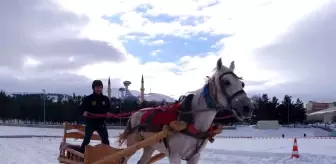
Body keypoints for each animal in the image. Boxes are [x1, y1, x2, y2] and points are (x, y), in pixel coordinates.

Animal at [118, 58, 252, 163]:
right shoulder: (175, 156)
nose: (247, 107)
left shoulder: (195, 157)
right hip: (132, 144)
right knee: (124, 158)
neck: (191, 121)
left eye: (242, 84)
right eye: (226, 82)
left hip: (150, 146)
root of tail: (134, 114)